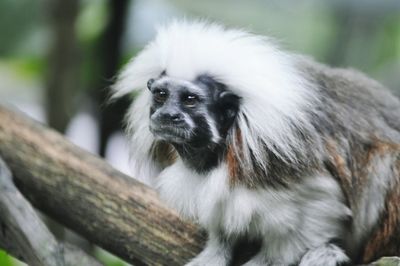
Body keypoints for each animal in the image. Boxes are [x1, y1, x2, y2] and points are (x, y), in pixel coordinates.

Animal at [111, 21, 400, 266]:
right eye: (161, 95)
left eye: (190, 100)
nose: (168, 115)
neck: (218, 149)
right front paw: (217, 251)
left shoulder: (278, 157)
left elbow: (318, 207)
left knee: (383, 163)